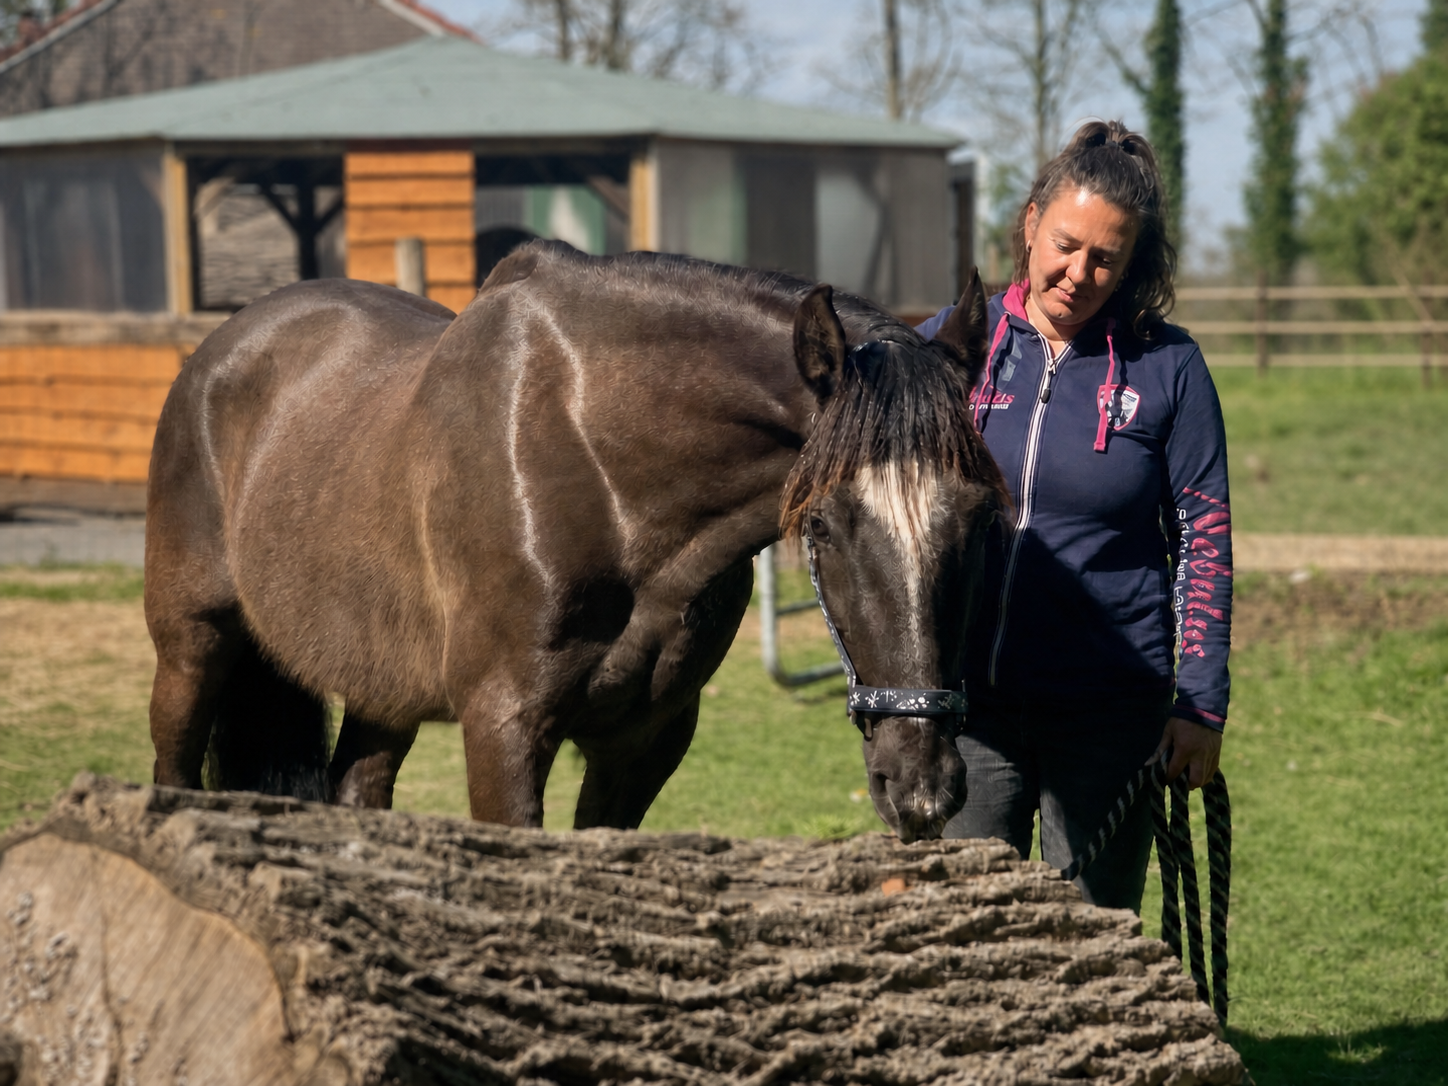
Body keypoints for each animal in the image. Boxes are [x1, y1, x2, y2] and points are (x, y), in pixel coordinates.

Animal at [144, 241, 1008, 842]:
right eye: (822, 524)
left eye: (980, 518)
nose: (922, 788)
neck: (603, 468)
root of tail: (219, 351)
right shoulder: (504, 729)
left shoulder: (643, 744)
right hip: (194, 648)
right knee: (173, 767)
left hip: (381, 684)